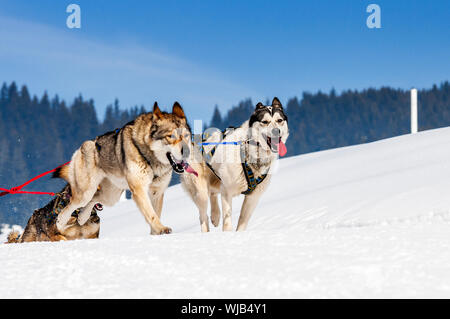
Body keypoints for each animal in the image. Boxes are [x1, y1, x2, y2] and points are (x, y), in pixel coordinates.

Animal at [52, 102, 193, 235]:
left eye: (186, 136)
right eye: (171, 136)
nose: (187, 151)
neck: (150, 158)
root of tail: (85, 145)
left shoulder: (157, 191)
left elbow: (156, 214)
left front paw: (155, 233)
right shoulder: (139, 189)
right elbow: (152, 214)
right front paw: (161, 229)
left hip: (110, 197)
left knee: (94, 199)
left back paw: (82, 217)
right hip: (86, 193)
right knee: (70, 206)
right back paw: (60, 222)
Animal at [180, 97, 288, 232]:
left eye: (279, 120)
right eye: (265, 122)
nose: (276, 131)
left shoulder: (253, 197)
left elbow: (242, 221)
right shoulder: (227, 190)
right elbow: (227, 220)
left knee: (213, 194)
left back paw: (215, 215)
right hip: (200, 191)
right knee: (203, 215)